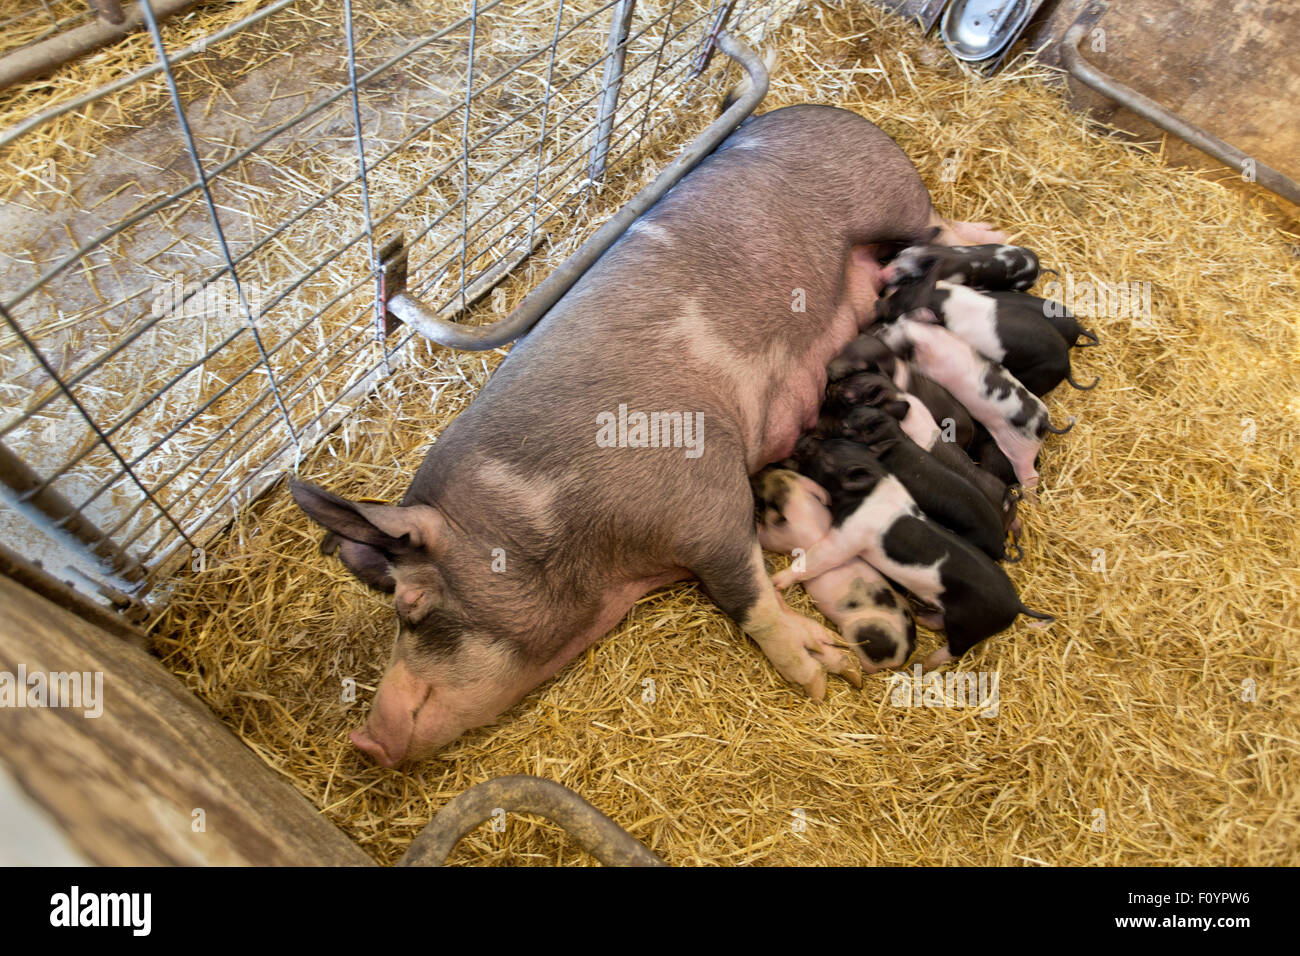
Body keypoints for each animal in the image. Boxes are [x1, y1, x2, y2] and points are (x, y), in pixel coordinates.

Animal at [292, 100, 1003, 764]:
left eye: (410, 608)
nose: (364, 742)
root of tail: (834, 112)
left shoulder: (706, 495)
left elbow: (749, 598)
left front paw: (823, 676)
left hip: (893, 205)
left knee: (938, 230)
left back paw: (987, 232)